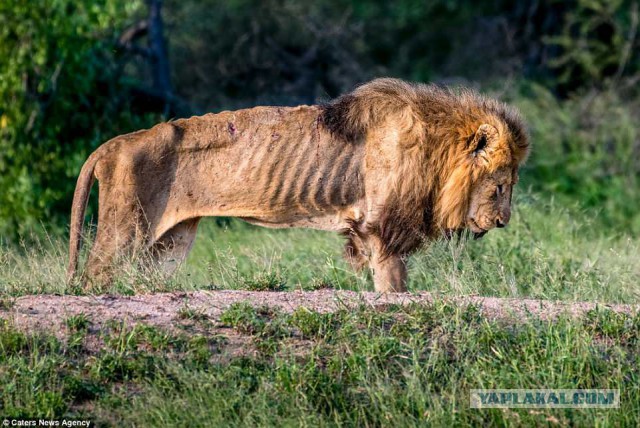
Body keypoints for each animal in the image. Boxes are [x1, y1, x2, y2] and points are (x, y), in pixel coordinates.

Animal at [67, 78, 529, 292]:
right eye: (500, 186)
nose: (504, 222)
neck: (437, 148)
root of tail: (112, 144)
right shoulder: (382, 228)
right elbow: (394, 285)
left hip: (168, 244)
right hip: (125, 231)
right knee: (93, 278)